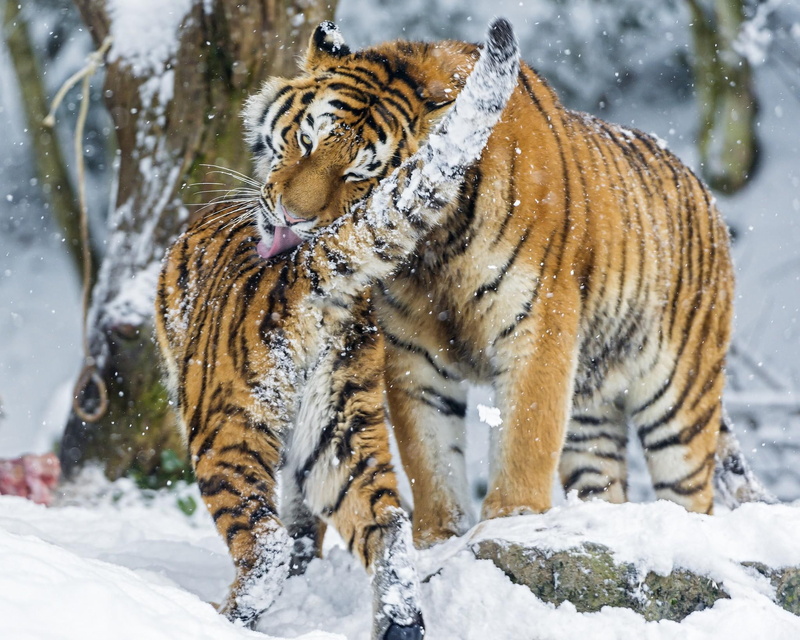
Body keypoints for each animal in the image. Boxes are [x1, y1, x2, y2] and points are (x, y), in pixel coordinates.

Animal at [154, 19, 520, 640]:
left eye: (357, 173)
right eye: (305, 141)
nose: (294, 220)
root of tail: (305, 267)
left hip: (225, 421)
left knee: (265, 545)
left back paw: (219, 617)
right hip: (339, 430)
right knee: (389, 525)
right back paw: (399, 622)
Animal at [231, 20, 774, 550]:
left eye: (363, 172)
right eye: (306, 140)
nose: (292, 218)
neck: (431, 256)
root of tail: (701, 189)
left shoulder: (538, 329)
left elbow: (525, 435)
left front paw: (513, 516)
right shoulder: (410, 350)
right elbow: (428, 453)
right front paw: (438, 536)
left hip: (679, 398)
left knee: (691, 492)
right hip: (591, 411)